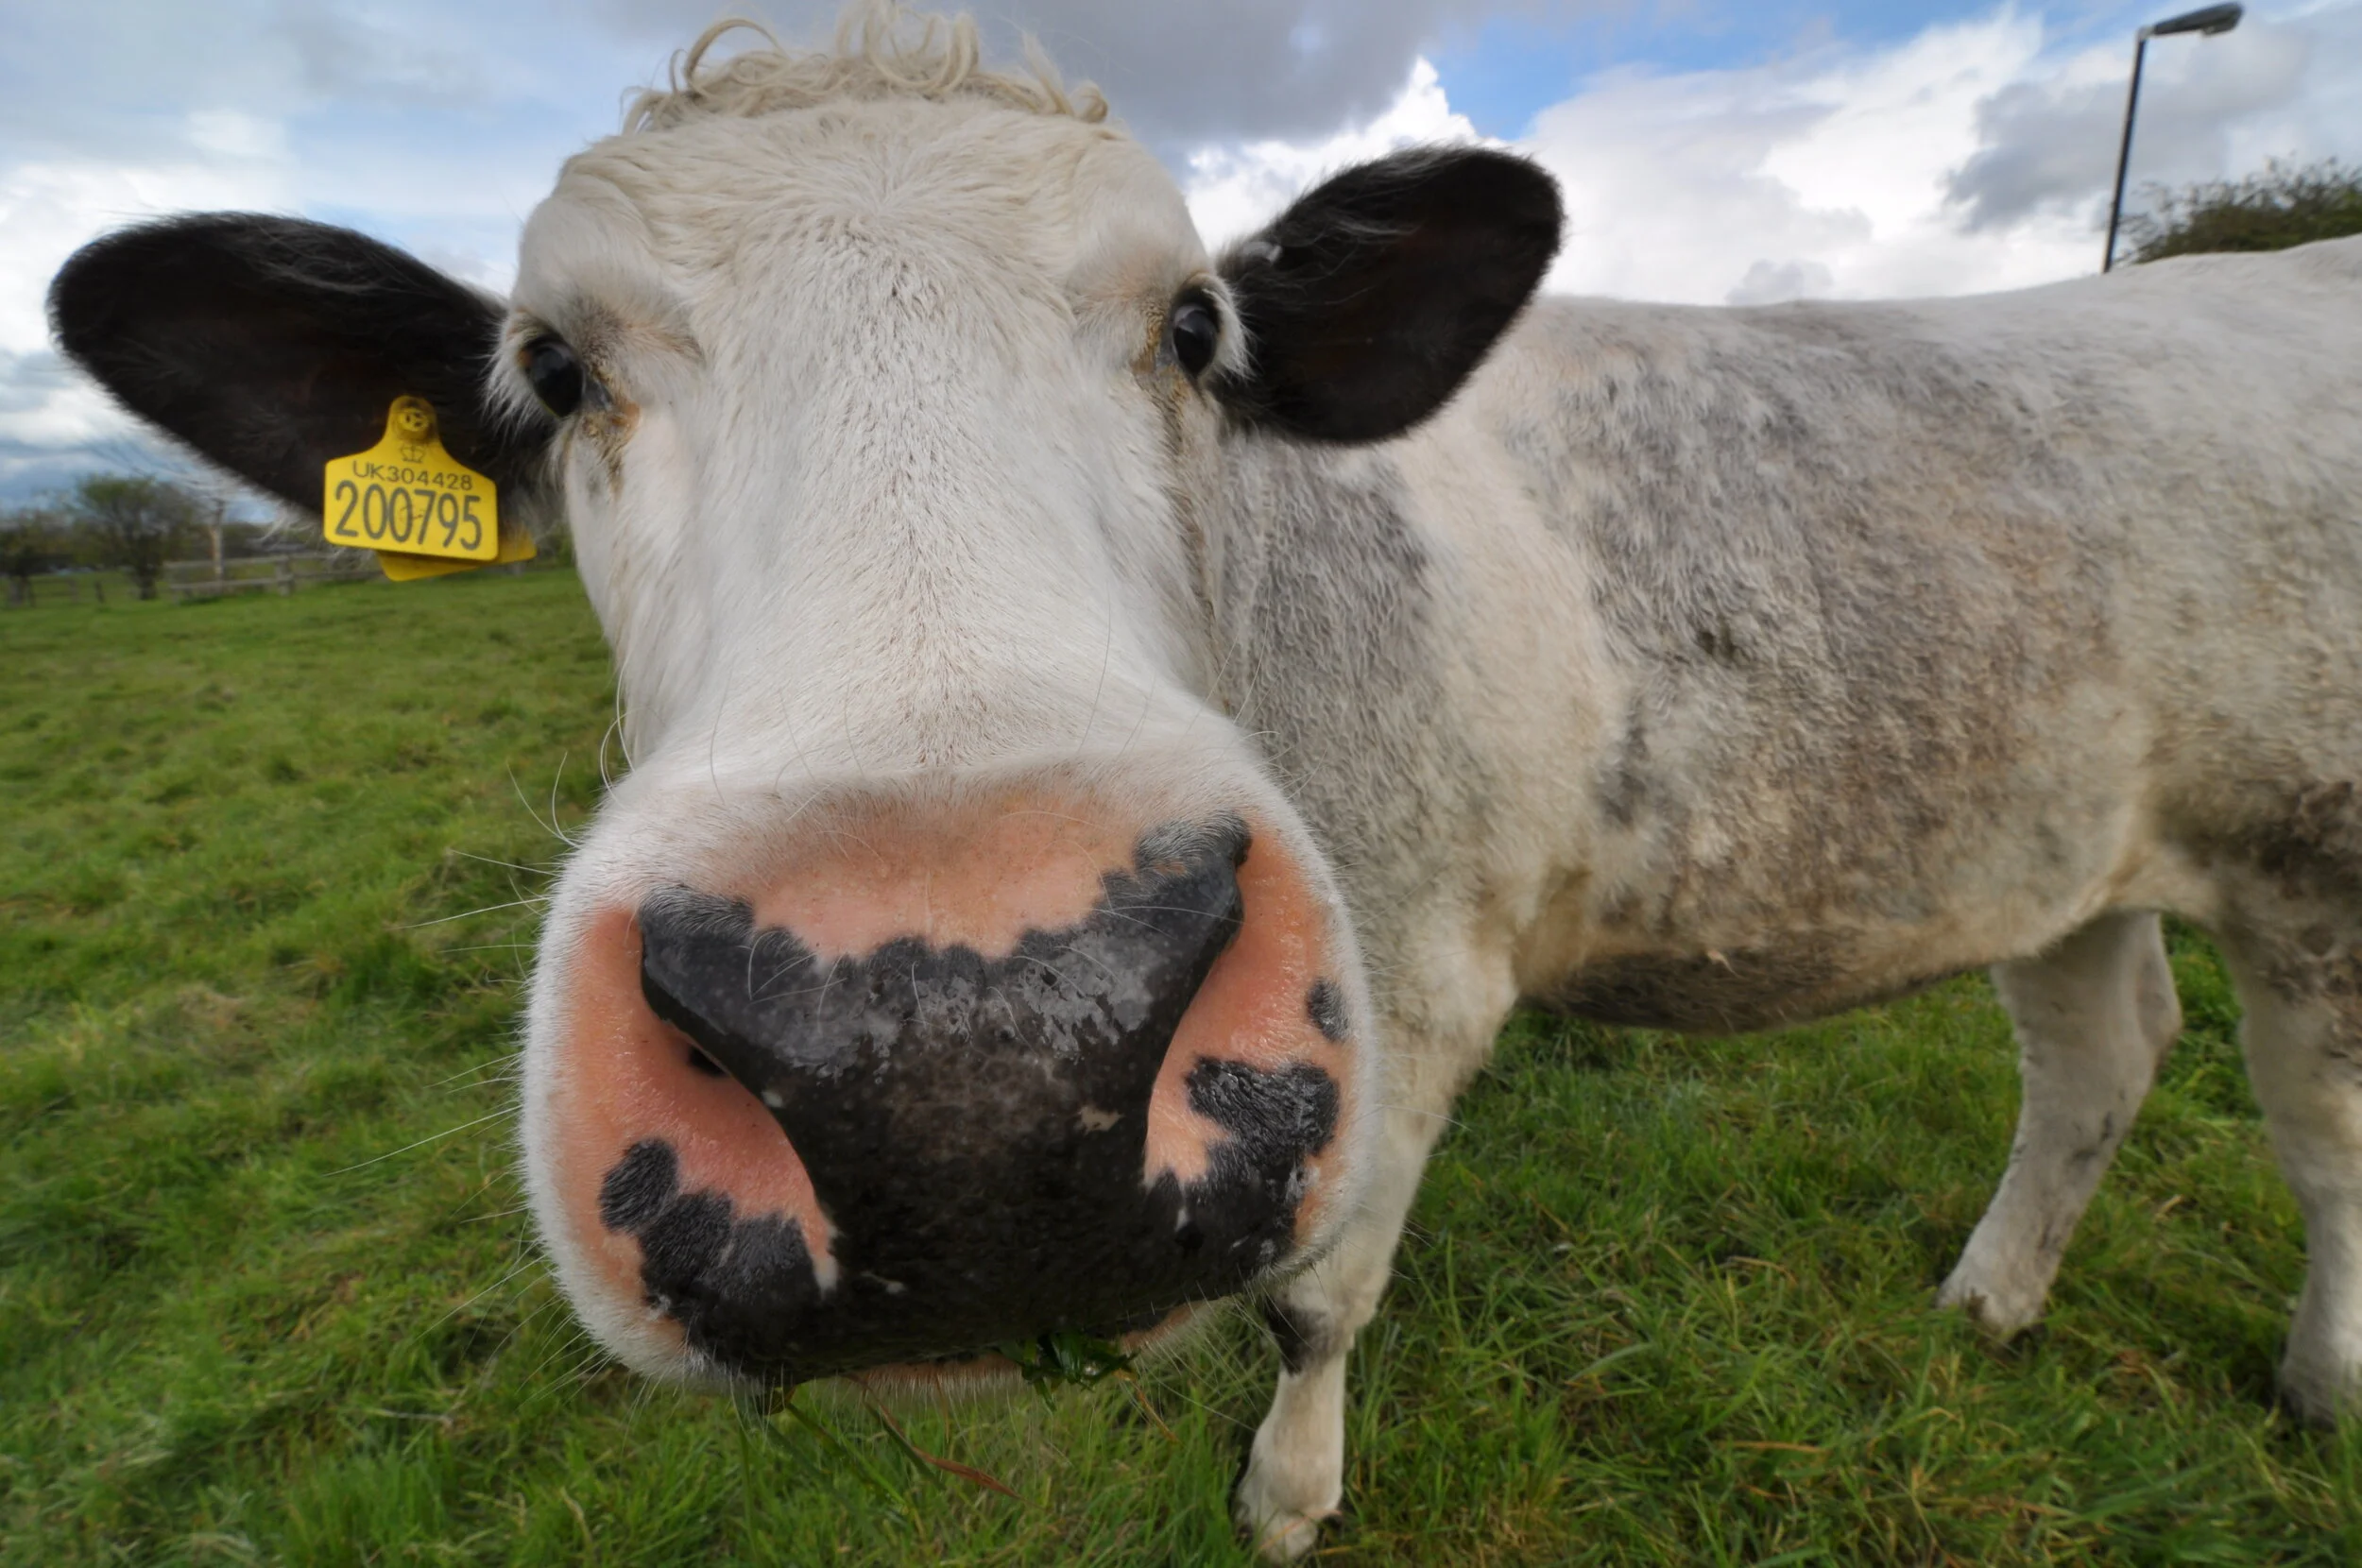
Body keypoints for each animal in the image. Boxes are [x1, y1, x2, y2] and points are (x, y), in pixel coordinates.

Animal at [46, 6, 2362, 1559]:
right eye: (551, 367)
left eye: (1191, 327)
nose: (956, 1066)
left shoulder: (1406, 984)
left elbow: (1314, 1300)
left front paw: (1287, 1495)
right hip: (2058, 831)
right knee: (2099, 1055)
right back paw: (1989, 1299)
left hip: (2313, 858)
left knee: (2318, 1137)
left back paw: (2321, 1382)